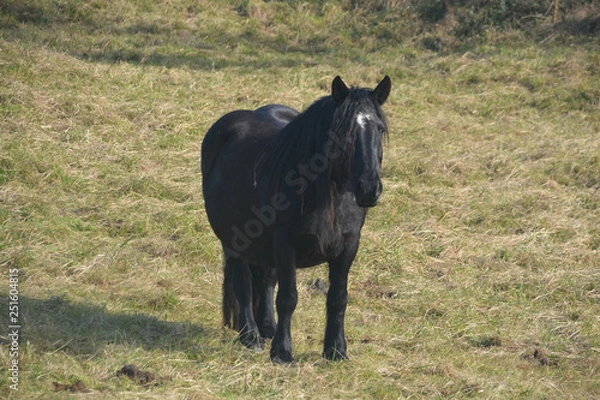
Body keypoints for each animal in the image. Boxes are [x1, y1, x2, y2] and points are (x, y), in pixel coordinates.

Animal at [202, 75, 392, 362]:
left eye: (379, 129)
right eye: (343, 131)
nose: (369, 189)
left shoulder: (349, 245)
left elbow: (338, 298)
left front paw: (336, 350)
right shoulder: (284, 244)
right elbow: (288, 298)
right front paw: (282, 353)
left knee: (265, 280)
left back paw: (267, 328)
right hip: (234, 240)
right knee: (243, 283)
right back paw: (251, 336)